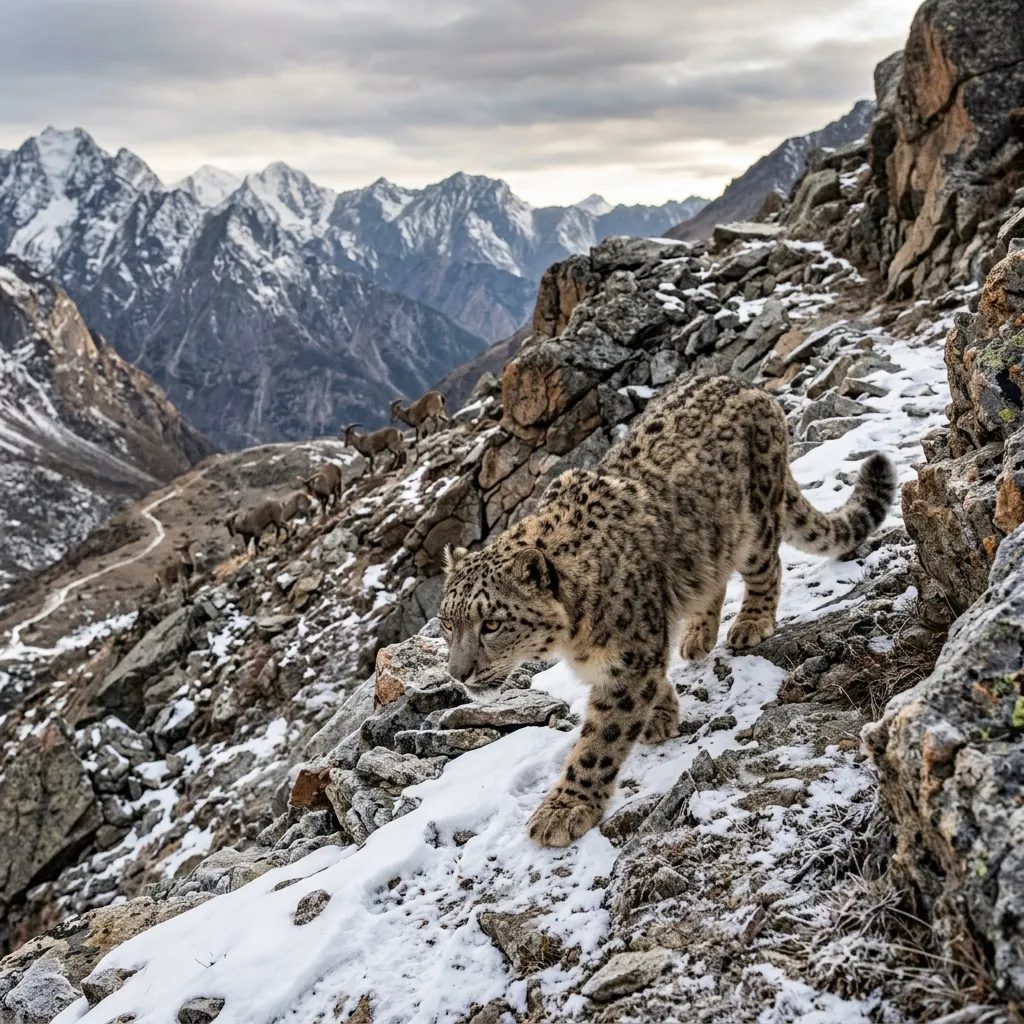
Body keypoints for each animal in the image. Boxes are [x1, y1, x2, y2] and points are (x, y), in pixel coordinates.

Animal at [439, 374, 896, 847]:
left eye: (492, 623)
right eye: (446, 623)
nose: (458, 674)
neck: (574, 639)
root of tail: (747, 385)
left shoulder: (629, 656)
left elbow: (600, 740)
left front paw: (563, 809)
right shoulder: (635, 652)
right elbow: (652, 682)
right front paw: (662, 715)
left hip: (753, 525)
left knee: (767, 567)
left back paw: (751, 622)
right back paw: (697, 636)